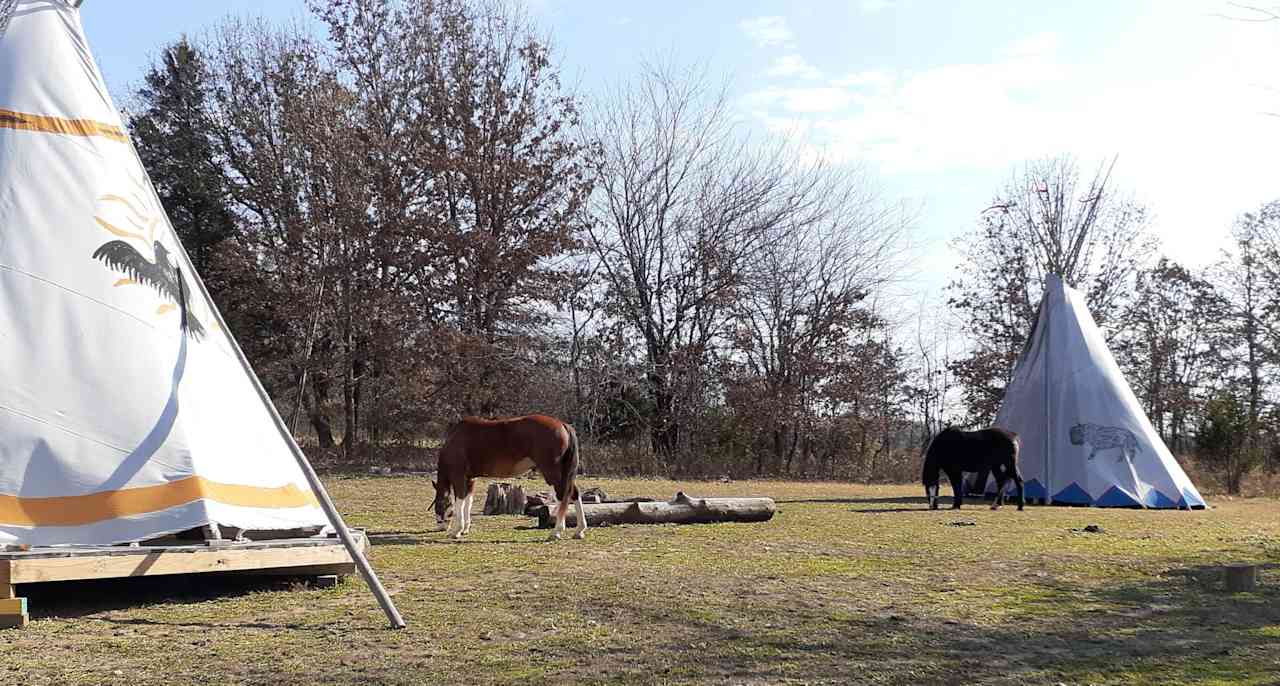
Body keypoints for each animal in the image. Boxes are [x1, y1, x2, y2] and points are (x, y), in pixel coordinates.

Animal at [432, 412, 586, 540]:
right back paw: (579, 530)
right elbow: (468, 502)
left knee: (562, 496)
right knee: (573, 493)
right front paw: (465, 529)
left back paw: (556, 532)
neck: (455, 439)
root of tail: (562, 424)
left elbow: (460, 501)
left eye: (438, 506)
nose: (440, 527)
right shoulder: (470, 479)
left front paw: (456, 531)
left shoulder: (458, 477)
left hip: (551, 472)